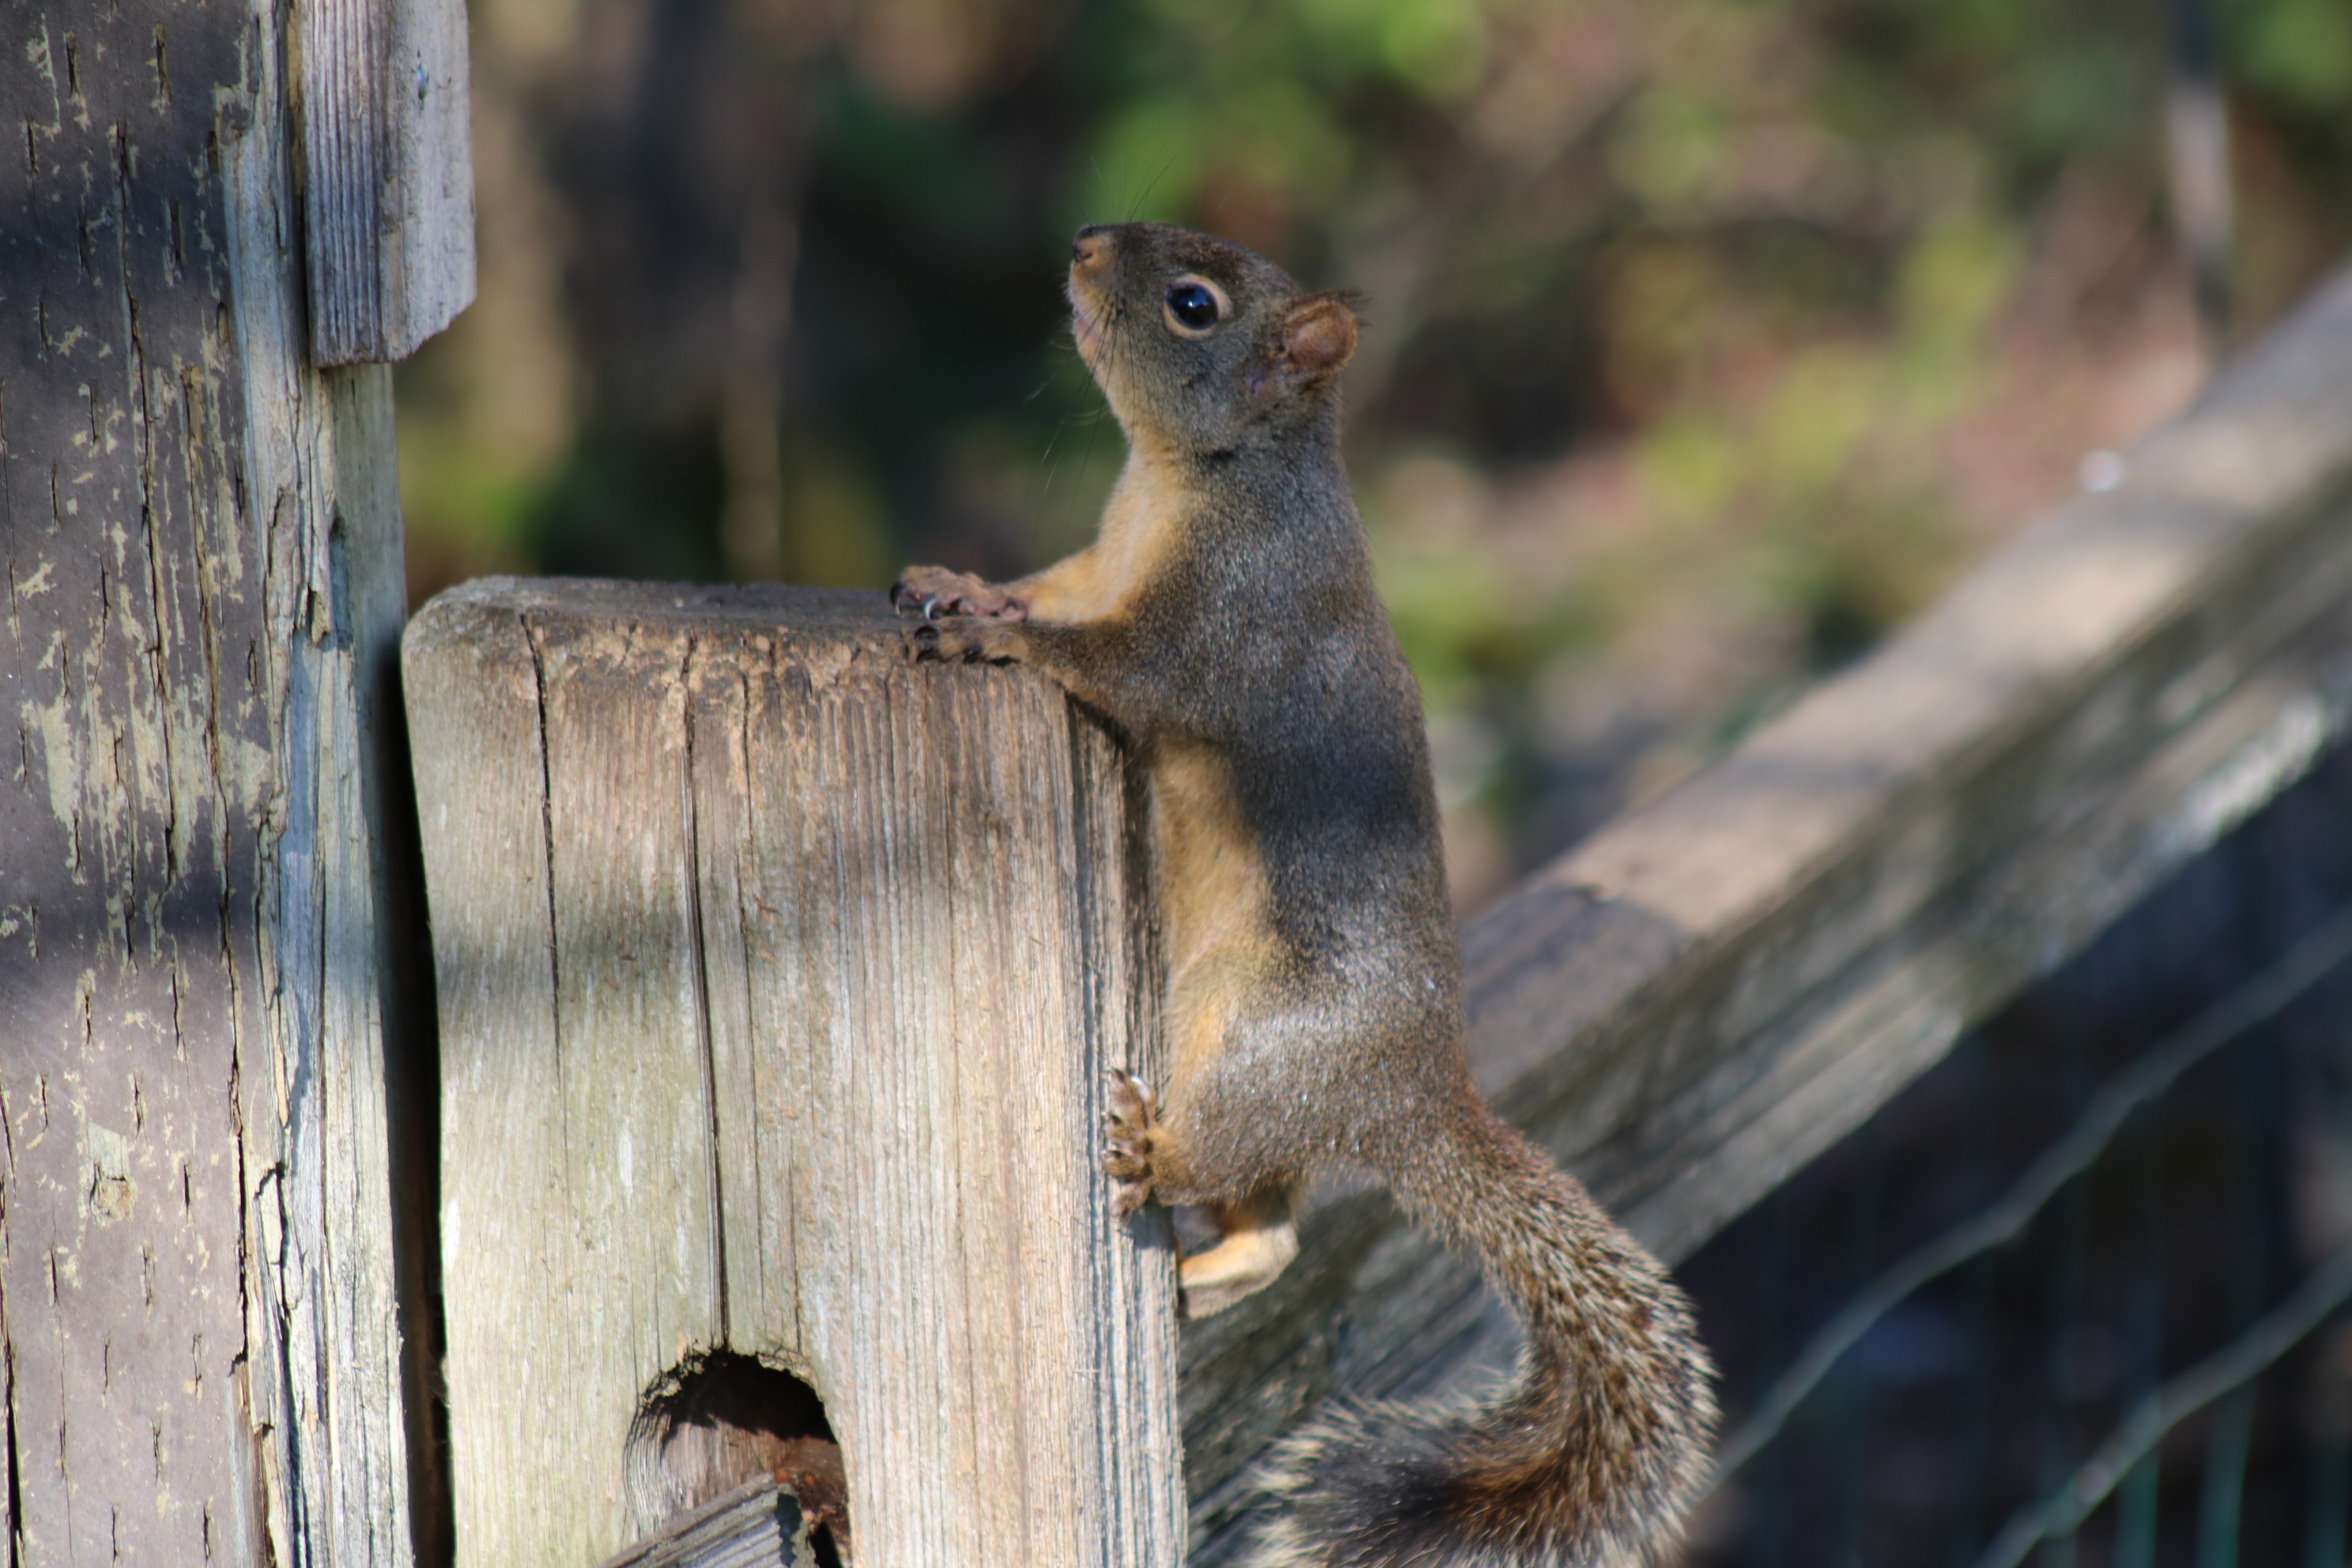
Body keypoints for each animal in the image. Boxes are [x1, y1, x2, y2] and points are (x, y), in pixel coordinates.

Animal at [894, 222, 1715, 1568]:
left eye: (1193, 305)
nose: (1084, 244)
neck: (1190, 479)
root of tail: (1411, 1098)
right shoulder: (1095, 561)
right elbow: (1052, 587)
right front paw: (962, 578)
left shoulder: (1221, 621)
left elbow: (1110, 664)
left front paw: (993, 633)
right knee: (1273, 1232)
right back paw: (1199, 1277)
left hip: (1248, 1043)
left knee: (1225, 1165)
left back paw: (1152, 1152)